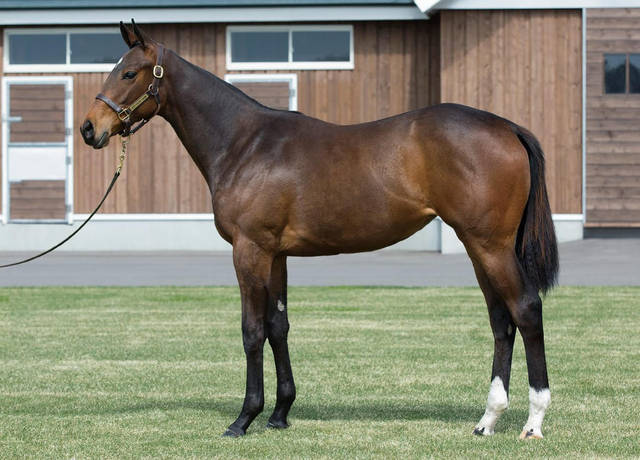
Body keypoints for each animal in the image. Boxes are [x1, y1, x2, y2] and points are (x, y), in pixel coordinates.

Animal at [80, 21, 558, 440]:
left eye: (128, 72)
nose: (89, 128)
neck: (245, 144)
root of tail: (508, 127)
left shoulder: (249, 251)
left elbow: (252, 331)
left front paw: (243, 419)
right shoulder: (275, 254)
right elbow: (278, 327)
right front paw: (279, 414)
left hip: (490, 246)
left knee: (526, 309)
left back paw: (533, 421)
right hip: (479, 248)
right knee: (501, 321)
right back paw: (488, 419)